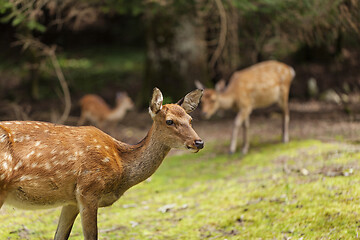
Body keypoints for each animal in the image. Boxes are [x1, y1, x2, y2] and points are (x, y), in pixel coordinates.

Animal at [0, 88, 202, 240]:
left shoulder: (71, 200)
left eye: (190, 120)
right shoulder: (89, 189)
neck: (121, 167)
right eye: (170, 121)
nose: (199, 142)